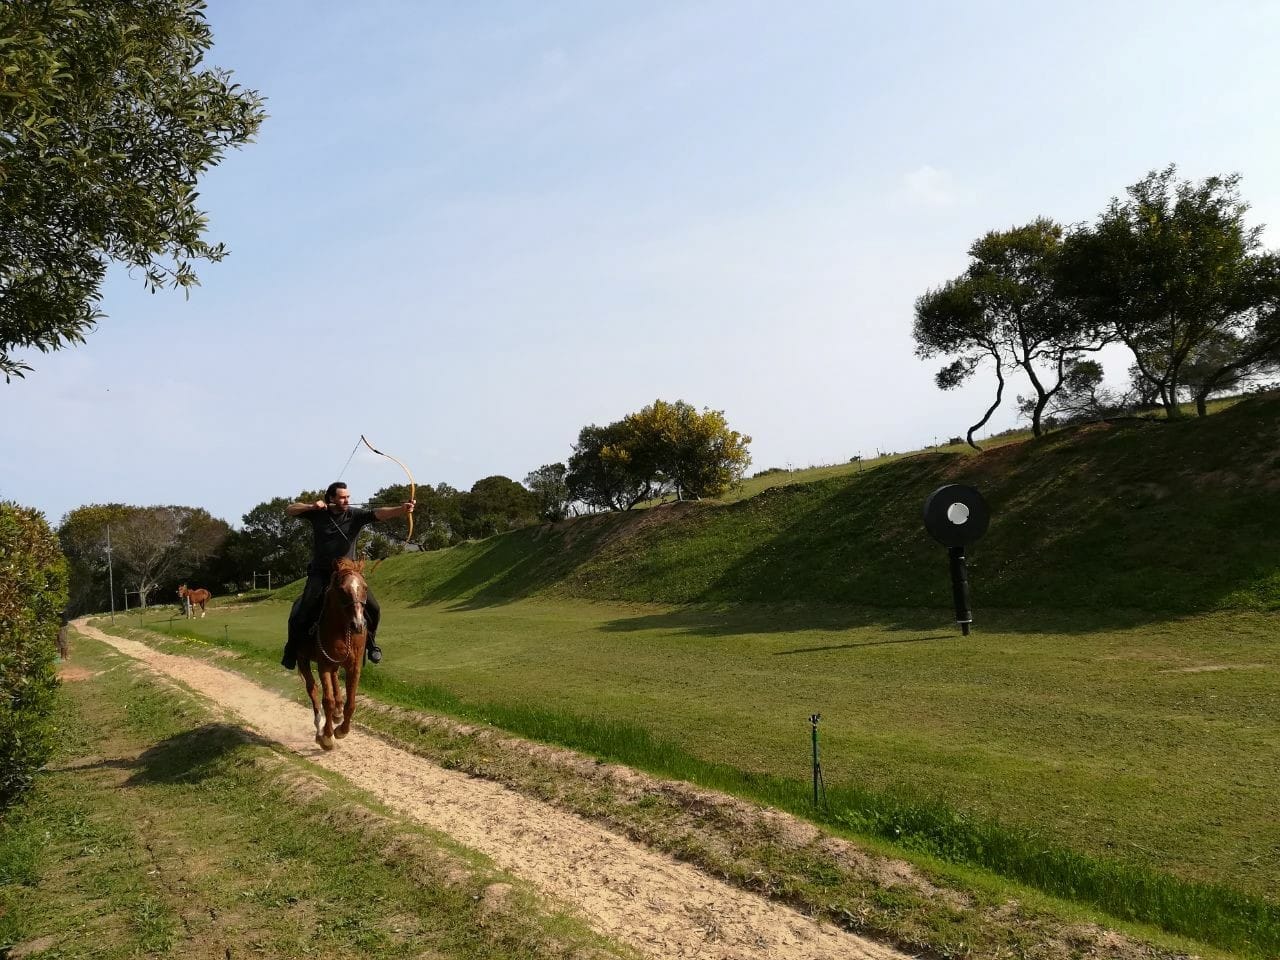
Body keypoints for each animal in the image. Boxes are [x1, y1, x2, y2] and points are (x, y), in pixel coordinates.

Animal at [302, 555, 373, 752]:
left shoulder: (354, 667)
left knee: (335, 684)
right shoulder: (324, 664)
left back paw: (338, 713)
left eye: (365, 587)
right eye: (342, 590)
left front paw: (342, 729)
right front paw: (327, 737)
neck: (341, 630)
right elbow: (327, 700)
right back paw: (320, 728)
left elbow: (351, 703)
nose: (359, 625)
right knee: (313, 691)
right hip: (303, 660)